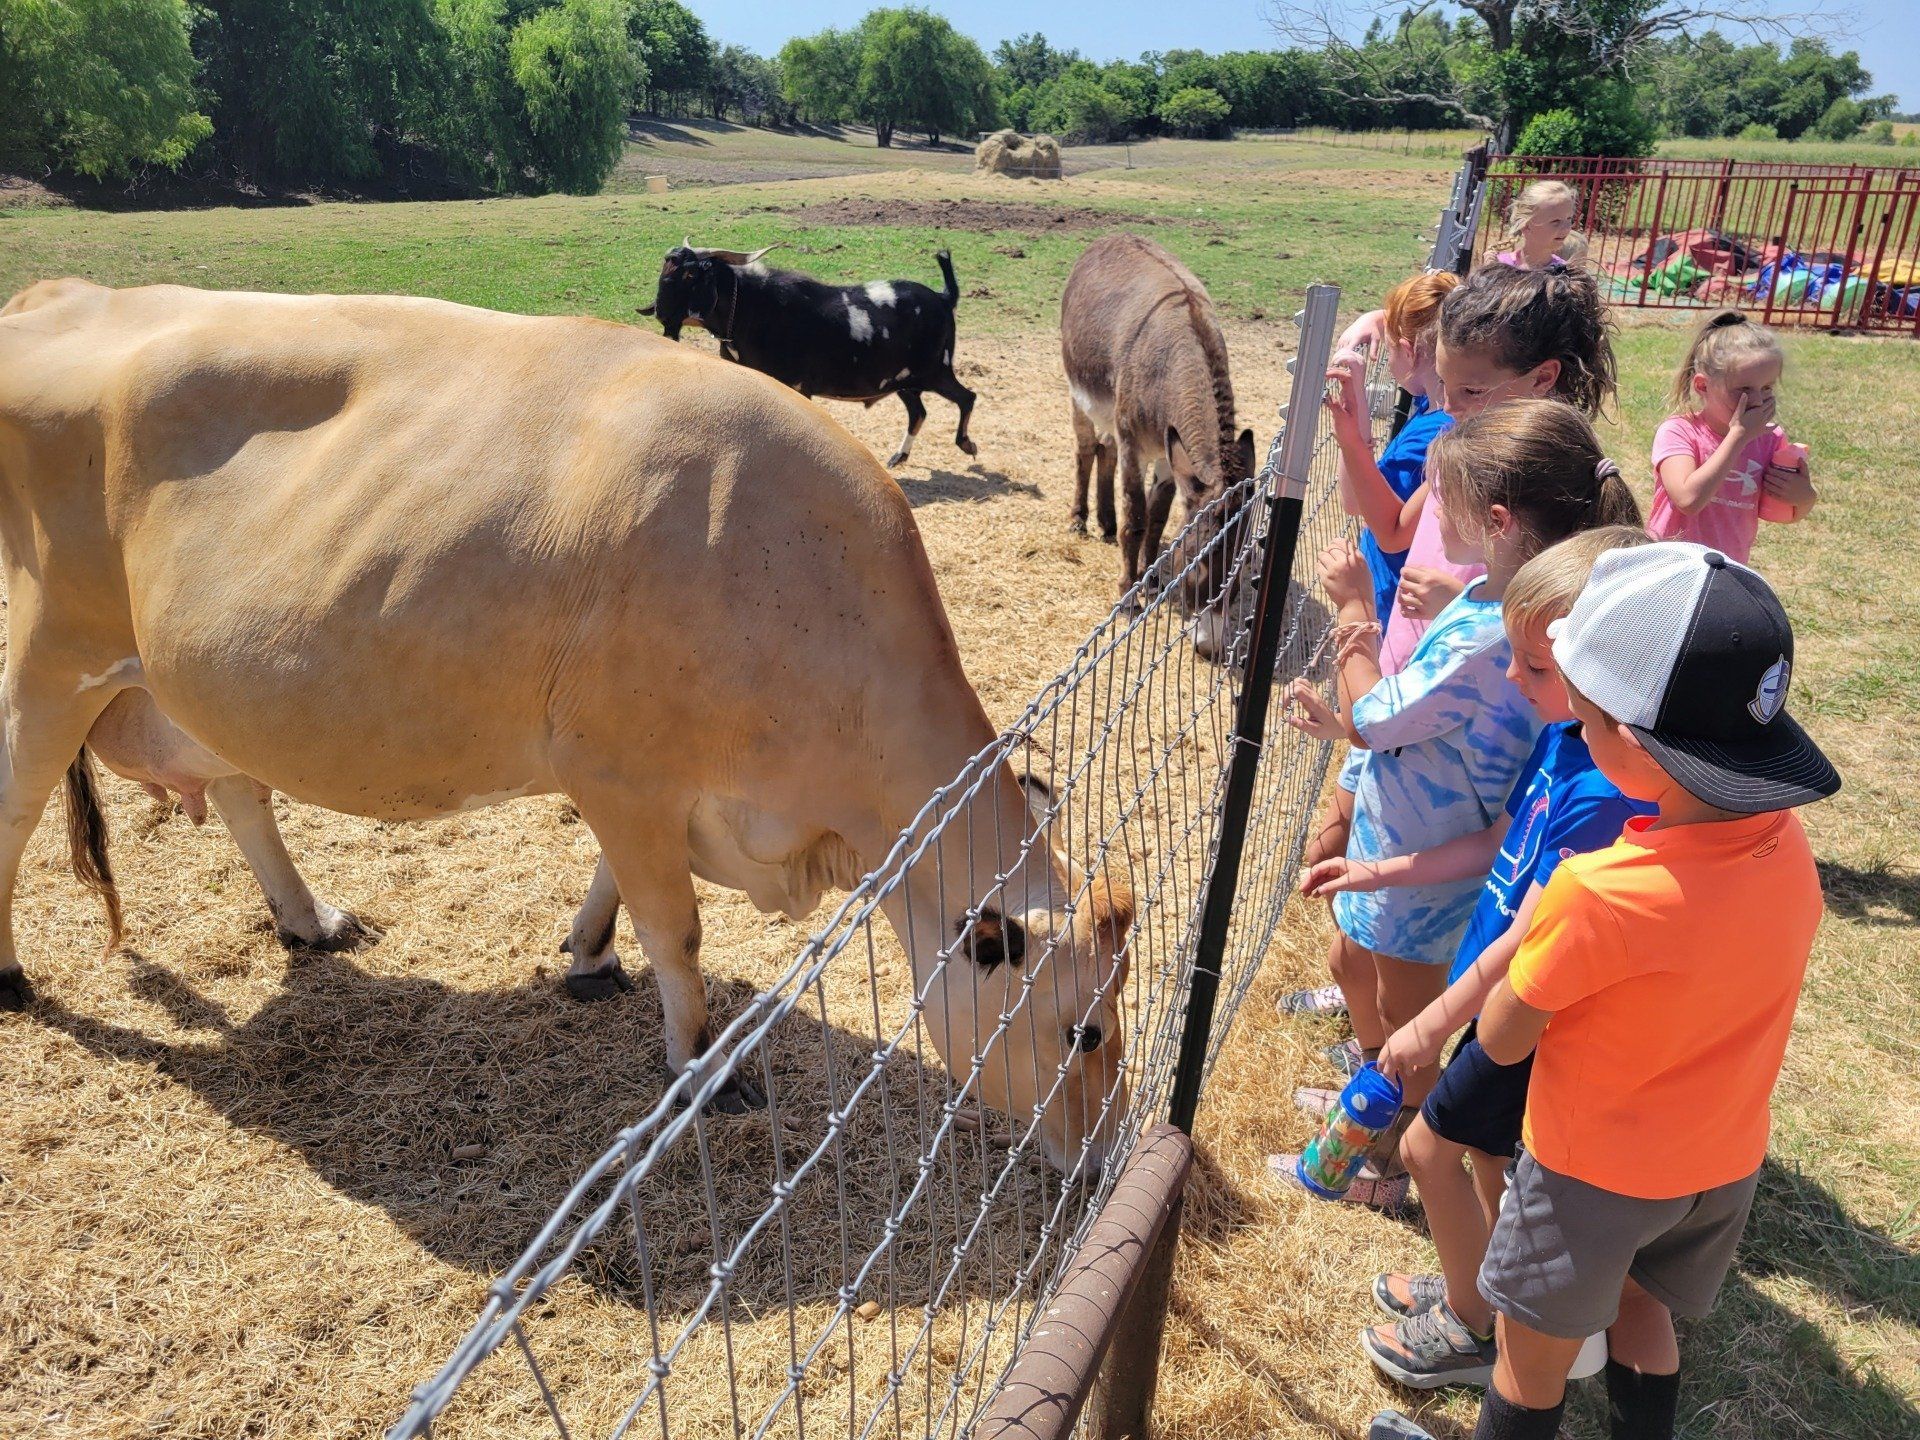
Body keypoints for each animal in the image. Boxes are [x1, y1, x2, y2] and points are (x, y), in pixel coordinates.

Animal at [0, 280, 1131, 1174]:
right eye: (1085, 1032)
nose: (1107, 1155)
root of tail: (55, 293)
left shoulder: (649, 783)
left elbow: (614, 887)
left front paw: (587, 954)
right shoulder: (621, 770)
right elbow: (676, 928)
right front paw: (703, 1069)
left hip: (194, 681)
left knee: (240, 789)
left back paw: (309, 919)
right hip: (53, 652)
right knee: (14, 802)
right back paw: (12, 975)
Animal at [640, 243, 977, 470]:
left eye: (689, 274)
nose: (661, 312)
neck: (750, 310)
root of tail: (944, 298)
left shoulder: (794, 386)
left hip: (935, 369)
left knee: (966, 397)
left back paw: (967, 444)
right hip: (903, 380)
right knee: (919, 411)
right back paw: (899, 456)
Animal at [1060, 235, 1257, 657]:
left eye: (1244, 563)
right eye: (1196, 560)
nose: (1210, 649)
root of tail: (1112, 237)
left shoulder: (1171, 456)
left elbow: (1157, 518)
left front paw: (1149, 580)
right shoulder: (1136, 447)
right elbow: (1135, 520)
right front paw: (1127, 598)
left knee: (1105, 450)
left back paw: (1105, 522)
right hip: (1080, 394)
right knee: (1085, 450)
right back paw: (1080, 519)